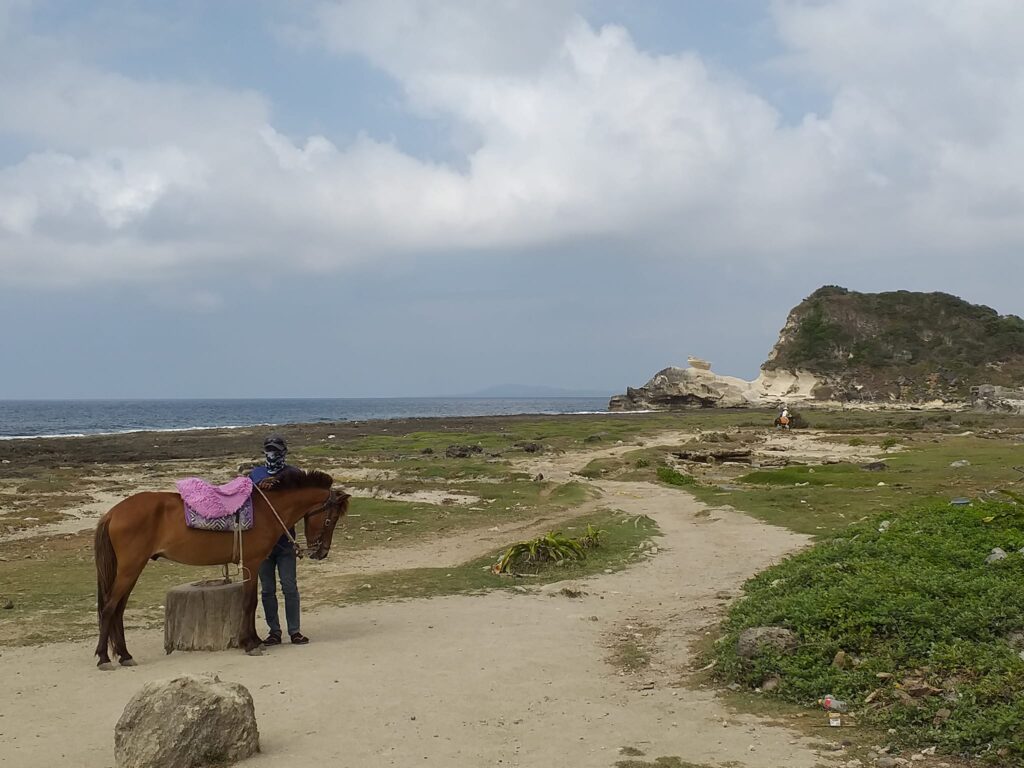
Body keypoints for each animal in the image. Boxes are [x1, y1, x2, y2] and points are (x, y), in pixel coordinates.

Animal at [96, 466, 352, 671]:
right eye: (330, 520)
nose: (321, 552)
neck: (267, 511)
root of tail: (113, 513)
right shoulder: (252, 563)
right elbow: (249, 603)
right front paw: (250, 644)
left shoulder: (254, 565)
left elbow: (251, 603)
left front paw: (254, 640)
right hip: (130, 568)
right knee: (109, 608)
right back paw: (104, 658)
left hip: (131, 570)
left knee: (118, 610)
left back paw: (124, 655)